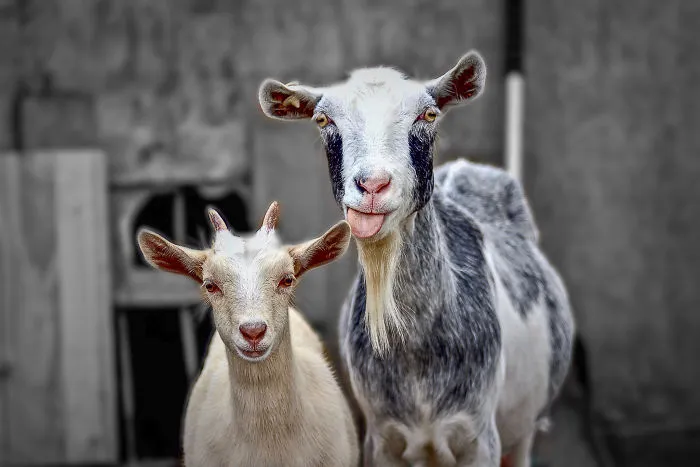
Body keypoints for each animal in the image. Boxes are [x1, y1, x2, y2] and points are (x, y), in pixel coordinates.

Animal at [258, 52, 574, 466]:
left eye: (428, 114)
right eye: (324, 120)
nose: (373, 185)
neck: (416, 353)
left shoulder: (480, 438)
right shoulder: (380, 438)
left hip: (521, 433)